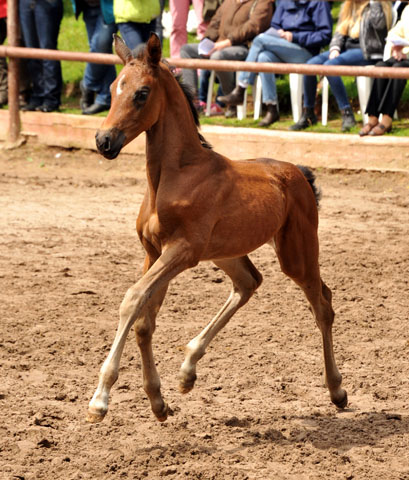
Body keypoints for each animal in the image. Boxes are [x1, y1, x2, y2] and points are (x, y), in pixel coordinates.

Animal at [87, 33, 348, 422]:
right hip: (226, 252)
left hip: (297, 254)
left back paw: (337, 390)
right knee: (248, 283)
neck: (176, 175)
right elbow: (145, 320)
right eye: (112, 88)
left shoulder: (182, 251)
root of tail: (300, 173)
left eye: (142, 93)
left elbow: (132, 300)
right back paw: (187, 371)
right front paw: (158, 401)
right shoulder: (153, 252)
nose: (104, 141)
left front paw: (100, 399)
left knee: (323, 305)